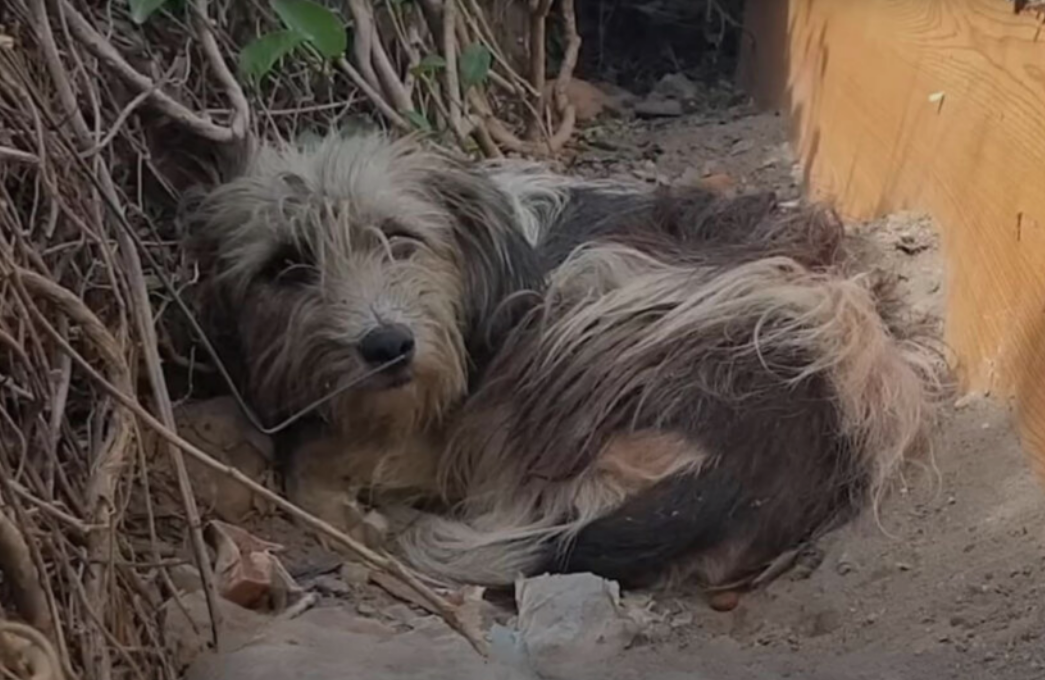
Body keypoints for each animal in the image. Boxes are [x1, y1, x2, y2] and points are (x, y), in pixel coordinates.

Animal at [186, 131, 940, 589]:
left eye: (399, 238)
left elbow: (309, 460)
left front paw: (340, 509)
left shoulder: (448, 419)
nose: (387, 346)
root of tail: (743, 467)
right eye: (284, 267)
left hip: (591, 292)